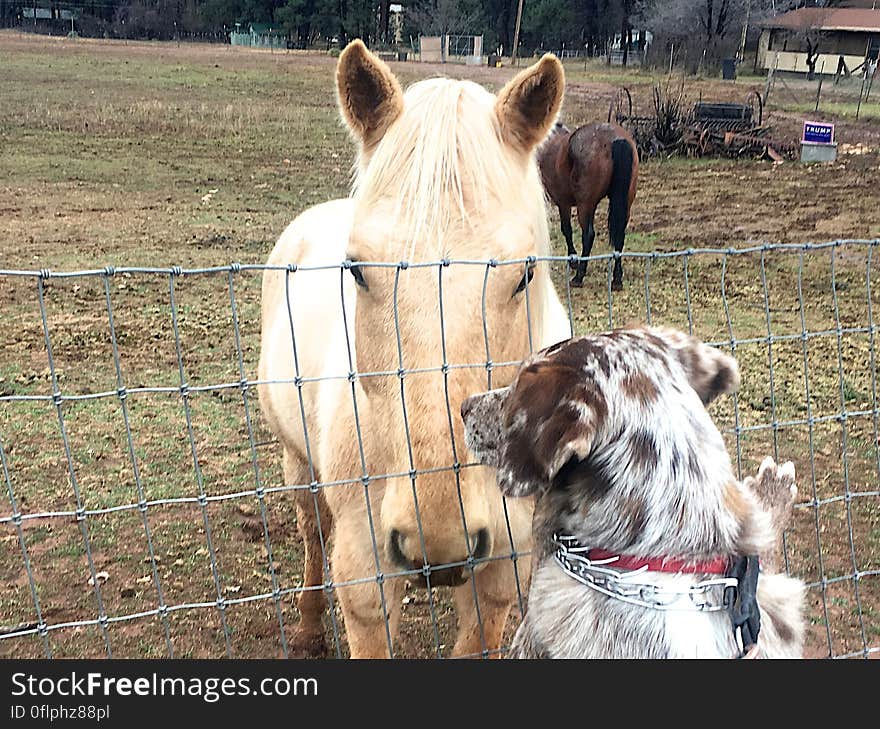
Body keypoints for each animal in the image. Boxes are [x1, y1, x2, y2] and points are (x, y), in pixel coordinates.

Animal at [256, 42, 572, 656]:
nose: (439, 539)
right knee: (311, 531)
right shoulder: (365, 573)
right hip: (298, 464)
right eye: (357, 270)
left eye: (524, 275)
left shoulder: (503, 564)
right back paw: (307, 628)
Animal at [536, 121, 640, 288]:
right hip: (625, 202)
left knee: (588, 235)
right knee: (620, 235)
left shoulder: (563, 203)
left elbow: (566, 230)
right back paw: (617, 279)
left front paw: (573, 260)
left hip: (585, 205)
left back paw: (579, 276)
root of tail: (615, 139)